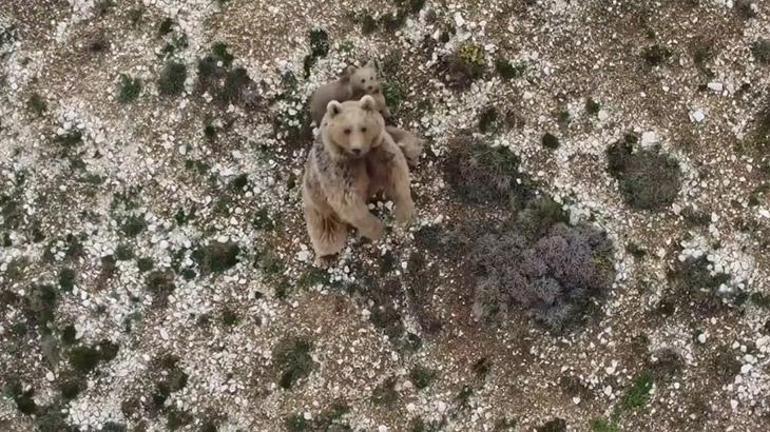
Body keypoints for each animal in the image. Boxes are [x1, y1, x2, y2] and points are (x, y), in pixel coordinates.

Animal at [304, 95, 416, 264]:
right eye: (346, 130)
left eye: (364, 128)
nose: (357, 148)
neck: (357, 158)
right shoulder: (339, 172)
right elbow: (349, 202)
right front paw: (377, 229)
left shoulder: (379, 150)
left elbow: (396, 171)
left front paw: (404, 213)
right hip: (317, 203)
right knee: (325, 229)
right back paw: (325, 256)